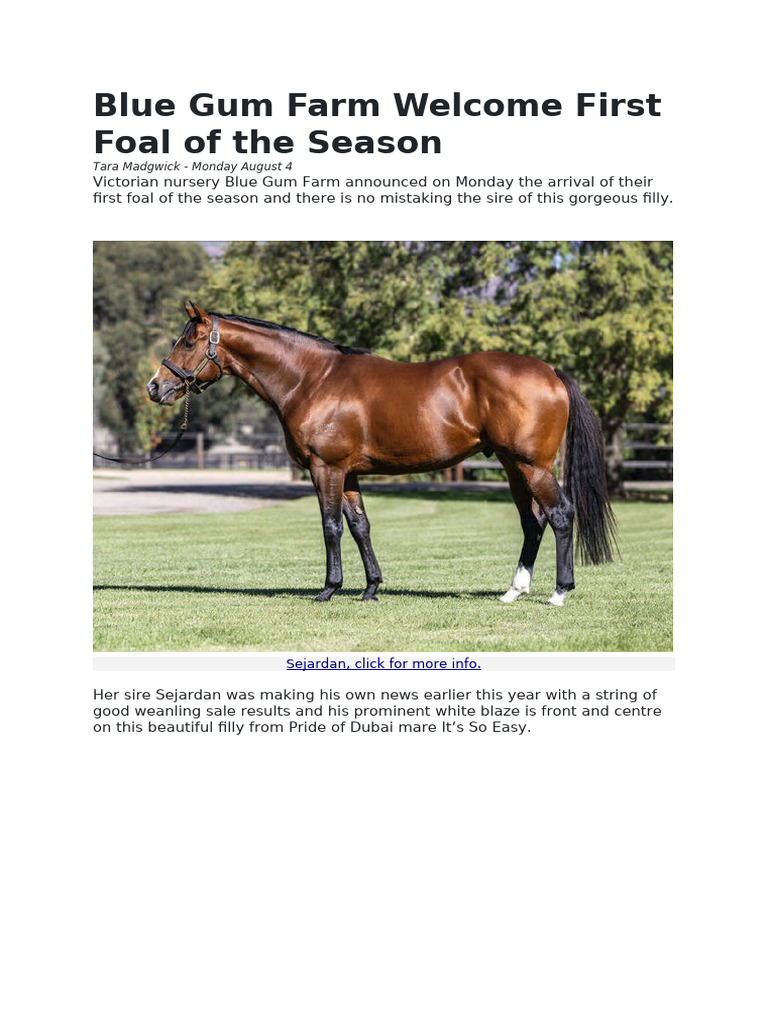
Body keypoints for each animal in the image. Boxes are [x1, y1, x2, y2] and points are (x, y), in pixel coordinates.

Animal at [147, 303, 615, 605]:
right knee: (533, 523)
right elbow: (360, 527)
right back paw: (514, 591)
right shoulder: (348, 473)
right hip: (513, 466)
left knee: (559, 515)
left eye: (188, 342)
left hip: (533, 466)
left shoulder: (326, 468)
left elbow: (331, 527)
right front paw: (372, 587)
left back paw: (559, 592)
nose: (155, 387)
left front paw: (329, 589)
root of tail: (550, 371)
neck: (312, 379)